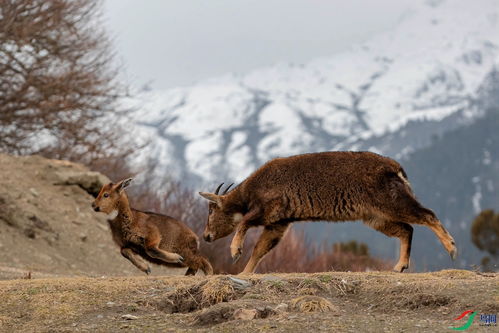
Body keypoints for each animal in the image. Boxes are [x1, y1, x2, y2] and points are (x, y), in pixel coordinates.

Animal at [198, 150, 458, 272]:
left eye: (211, 210)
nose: (206, 236)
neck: (251, 190)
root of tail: (396, 169)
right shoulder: (278, 223)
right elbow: (261, 250)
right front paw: (244, 273)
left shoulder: (269, 209)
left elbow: (244, 224)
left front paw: (235, 251)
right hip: (375, 217)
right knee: (407, 229)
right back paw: (399, 266)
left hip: (390, 202)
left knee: (427, 215)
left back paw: (452, 248)